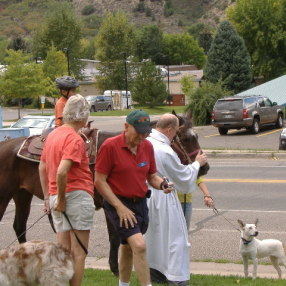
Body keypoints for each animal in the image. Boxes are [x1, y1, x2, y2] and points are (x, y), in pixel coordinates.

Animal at [0, 111, 208, 274]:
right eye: (186, 139)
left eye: (197, 136)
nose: (205, 168)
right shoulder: (111, 204)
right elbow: (114, 237)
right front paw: (115, 268)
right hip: (5, 196)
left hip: (22, 195)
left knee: (19, 226)